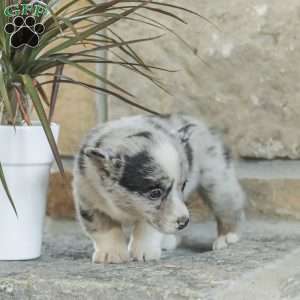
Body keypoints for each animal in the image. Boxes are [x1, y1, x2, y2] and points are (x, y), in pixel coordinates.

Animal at [73, 113, 246, 264]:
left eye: (183, 185)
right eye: (155, 193)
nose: (184, 222)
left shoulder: (151, 215)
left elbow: (146, 228)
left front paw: (144, 252)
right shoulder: (89, 203)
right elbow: (105, 230)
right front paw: (111, 254)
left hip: (218, 181)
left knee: (228, 208)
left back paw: (227, 238)